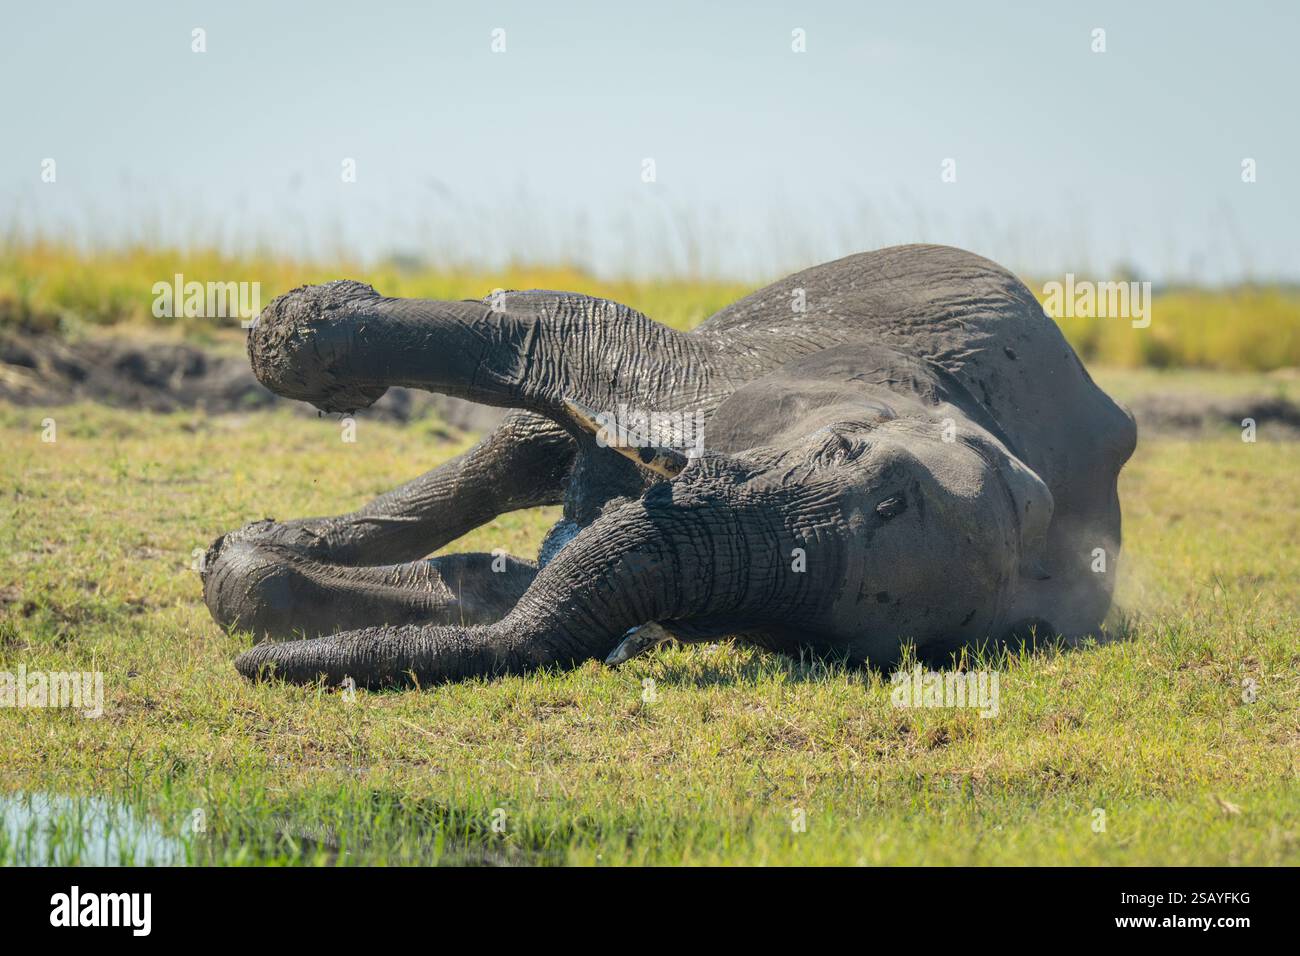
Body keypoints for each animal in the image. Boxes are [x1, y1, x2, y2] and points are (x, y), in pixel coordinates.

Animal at [203, 244, 1137, 688]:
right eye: (841, 450)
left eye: (813, 640)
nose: (258, 677)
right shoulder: (777, 362)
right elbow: (560, 325)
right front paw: (292, 335)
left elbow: (500, 594)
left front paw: (251, 577)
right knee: (517, 450)